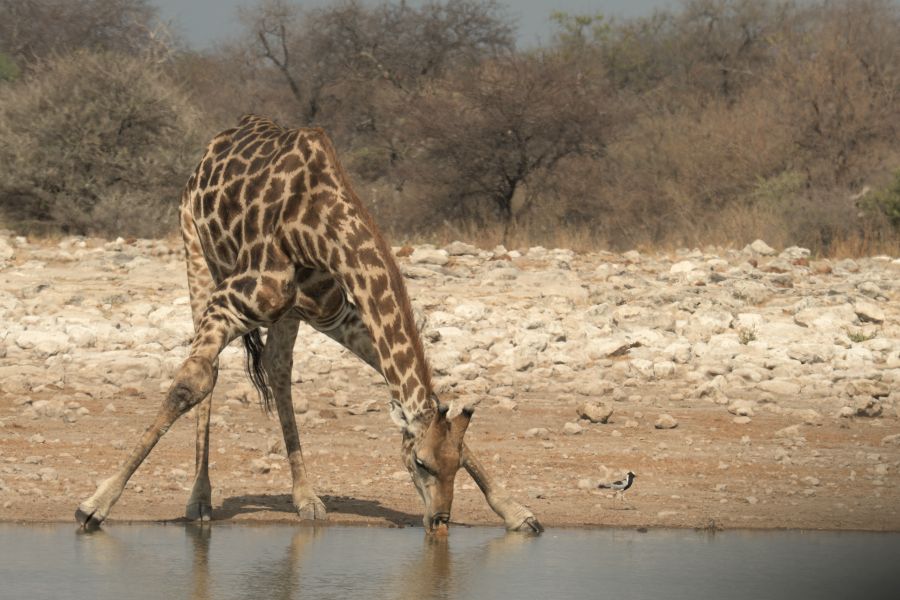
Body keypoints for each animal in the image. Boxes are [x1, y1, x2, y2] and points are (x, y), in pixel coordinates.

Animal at [75, 114, 542, 534]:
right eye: (420, 462)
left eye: (457, 464)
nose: (440, 521)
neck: (317, 227)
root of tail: (211, 149)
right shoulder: (229, 302)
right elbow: (189, 383)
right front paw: (94, 505)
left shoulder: (335, 313)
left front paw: (517, 512)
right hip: (196, 254)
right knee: (212, 373)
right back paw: (200, 500)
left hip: (289, 313)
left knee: (278, 370)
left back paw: (306, 498)